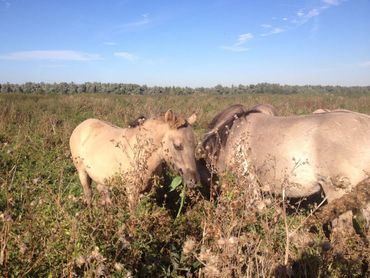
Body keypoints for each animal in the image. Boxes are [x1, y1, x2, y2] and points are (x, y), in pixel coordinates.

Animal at [71, 109, 201, 207]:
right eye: (177, 146)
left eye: (195, 145)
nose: (193, 181)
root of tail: (81, 125)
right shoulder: (132, 191)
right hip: (82, 173)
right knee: (88, 194)